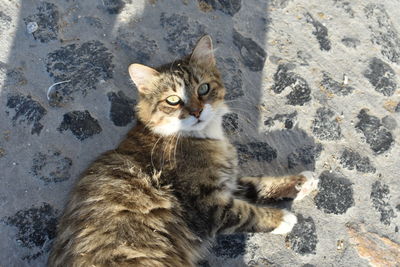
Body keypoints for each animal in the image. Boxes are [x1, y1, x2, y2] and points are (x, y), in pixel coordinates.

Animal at [47, 35, 318, 267]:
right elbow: (248, 213)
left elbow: (261, 184)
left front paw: (301, 182)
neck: (205, 137)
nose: (197, 112)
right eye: (173, 100)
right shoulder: (208, 204)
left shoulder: (228, 182)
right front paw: (283, 219)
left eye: (203, 89)